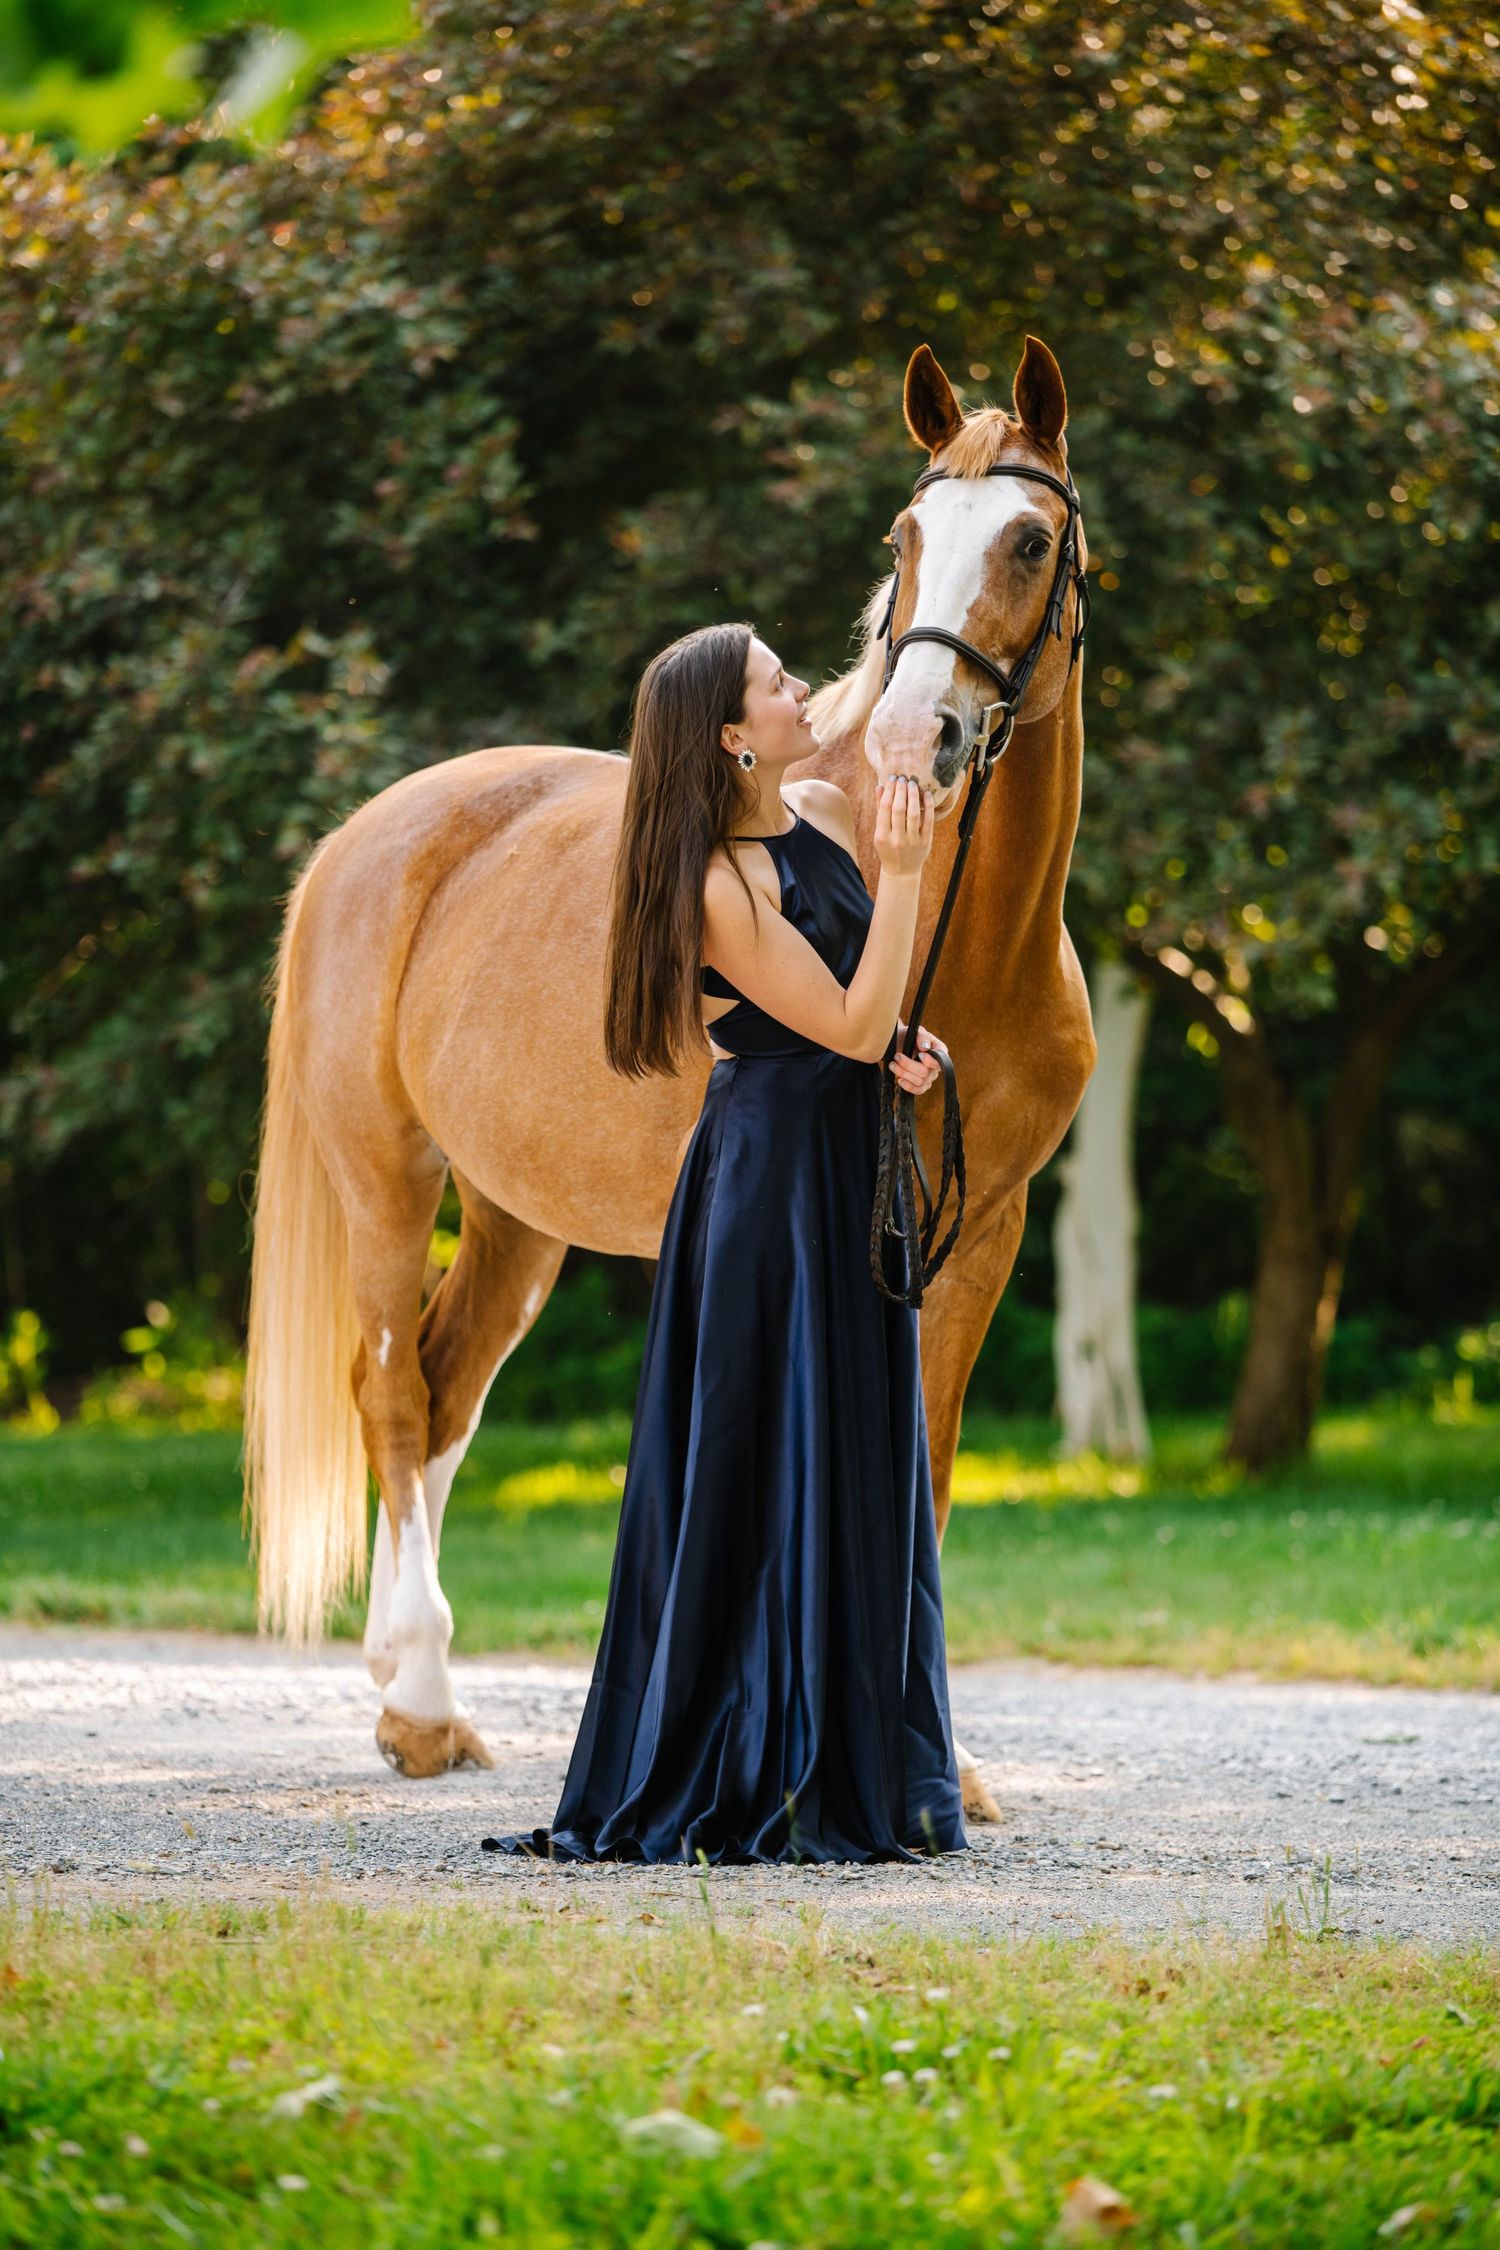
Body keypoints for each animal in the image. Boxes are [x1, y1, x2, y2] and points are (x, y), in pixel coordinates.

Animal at [243, 334, 1096, 1811]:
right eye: (905, 536)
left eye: (1030, 539)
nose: (912, 741)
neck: (971, 937)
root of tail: (368, 837)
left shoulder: (980, 1229)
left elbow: (926, 1473)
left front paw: (946, 1766)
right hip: (387, 1180)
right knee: (393, 1395)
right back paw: (422, 1703)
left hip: (517, 1217)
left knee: (448, 1390)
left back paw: (416, 1690)